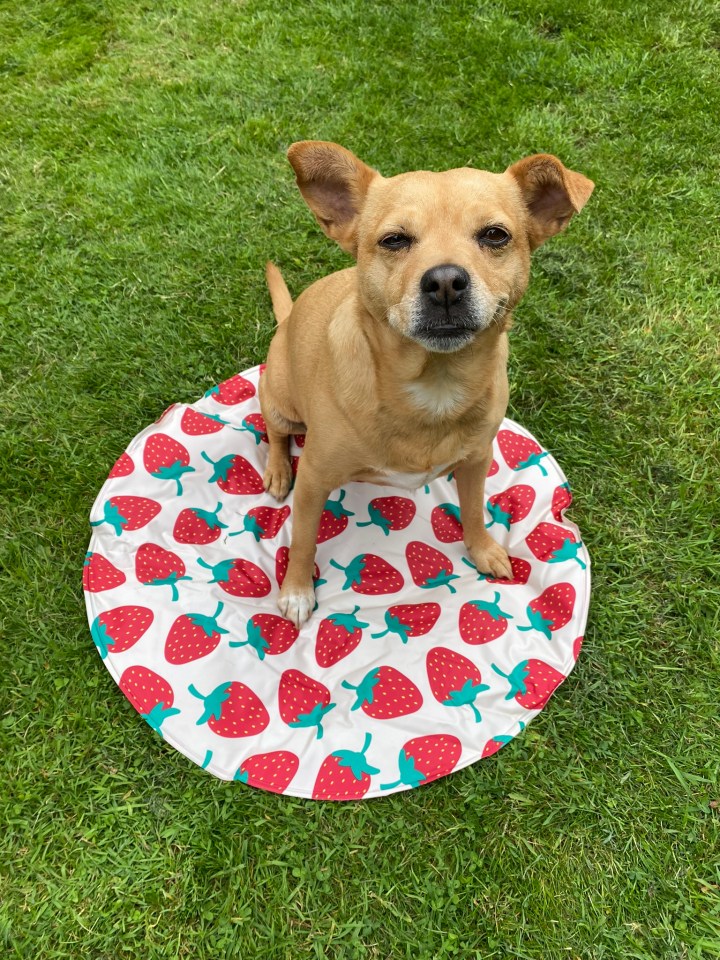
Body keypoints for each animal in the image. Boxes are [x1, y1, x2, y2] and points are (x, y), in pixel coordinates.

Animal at [256, 139, 592, 628]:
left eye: (495, 235)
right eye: (394, 240)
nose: (446, 281)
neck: (436, 382)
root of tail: (287, 320)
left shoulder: (477, 460)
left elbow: (473, 510)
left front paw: (483, 549)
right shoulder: (315, 480)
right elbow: (302, 539)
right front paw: (297, 591)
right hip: (280, 398)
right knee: (276, 433)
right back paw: (279, 470)